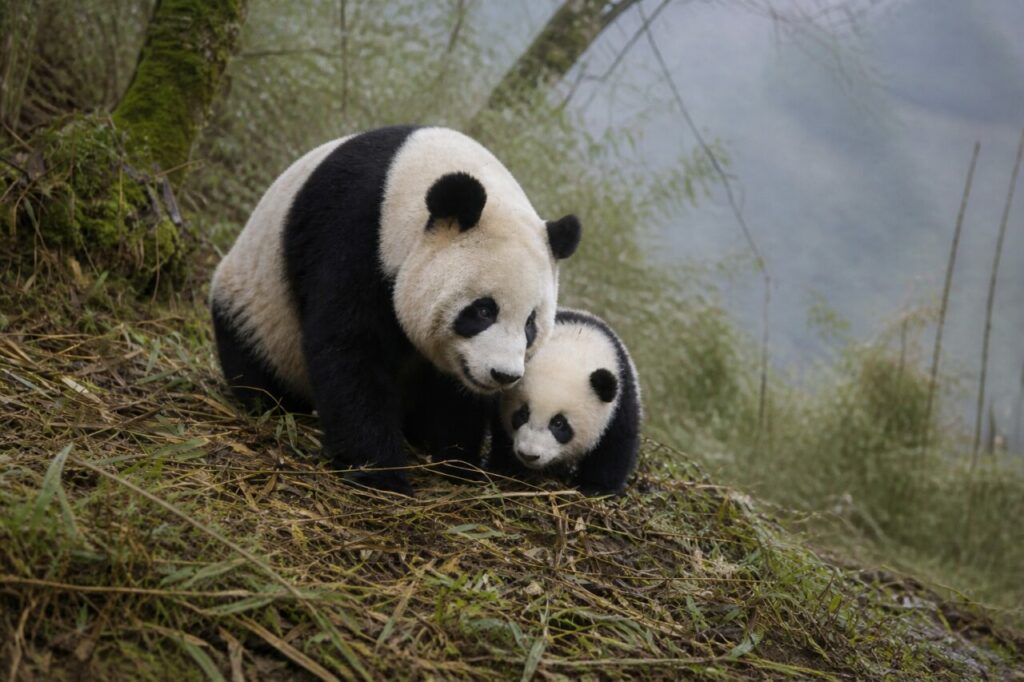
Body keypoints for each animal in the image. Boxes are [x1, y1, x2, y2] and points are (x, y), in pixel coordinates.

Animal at [210, 126, 581, 493]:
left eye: (531, 324)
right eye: (483, 311)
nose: (503, 375)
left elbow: (454, 393)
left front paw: (459, 463)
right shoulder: (353, 232)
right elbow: (350, 347)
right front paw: (381, 473)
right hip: (258, 309)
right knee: (254, 365)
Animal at [489, 309, 641, 496]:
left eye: (559, 423)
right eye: (523, 413)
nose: (529, 455)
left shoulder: (621, 399)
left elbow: (615, 447)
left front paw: (596, 489)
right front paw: (504, 467)